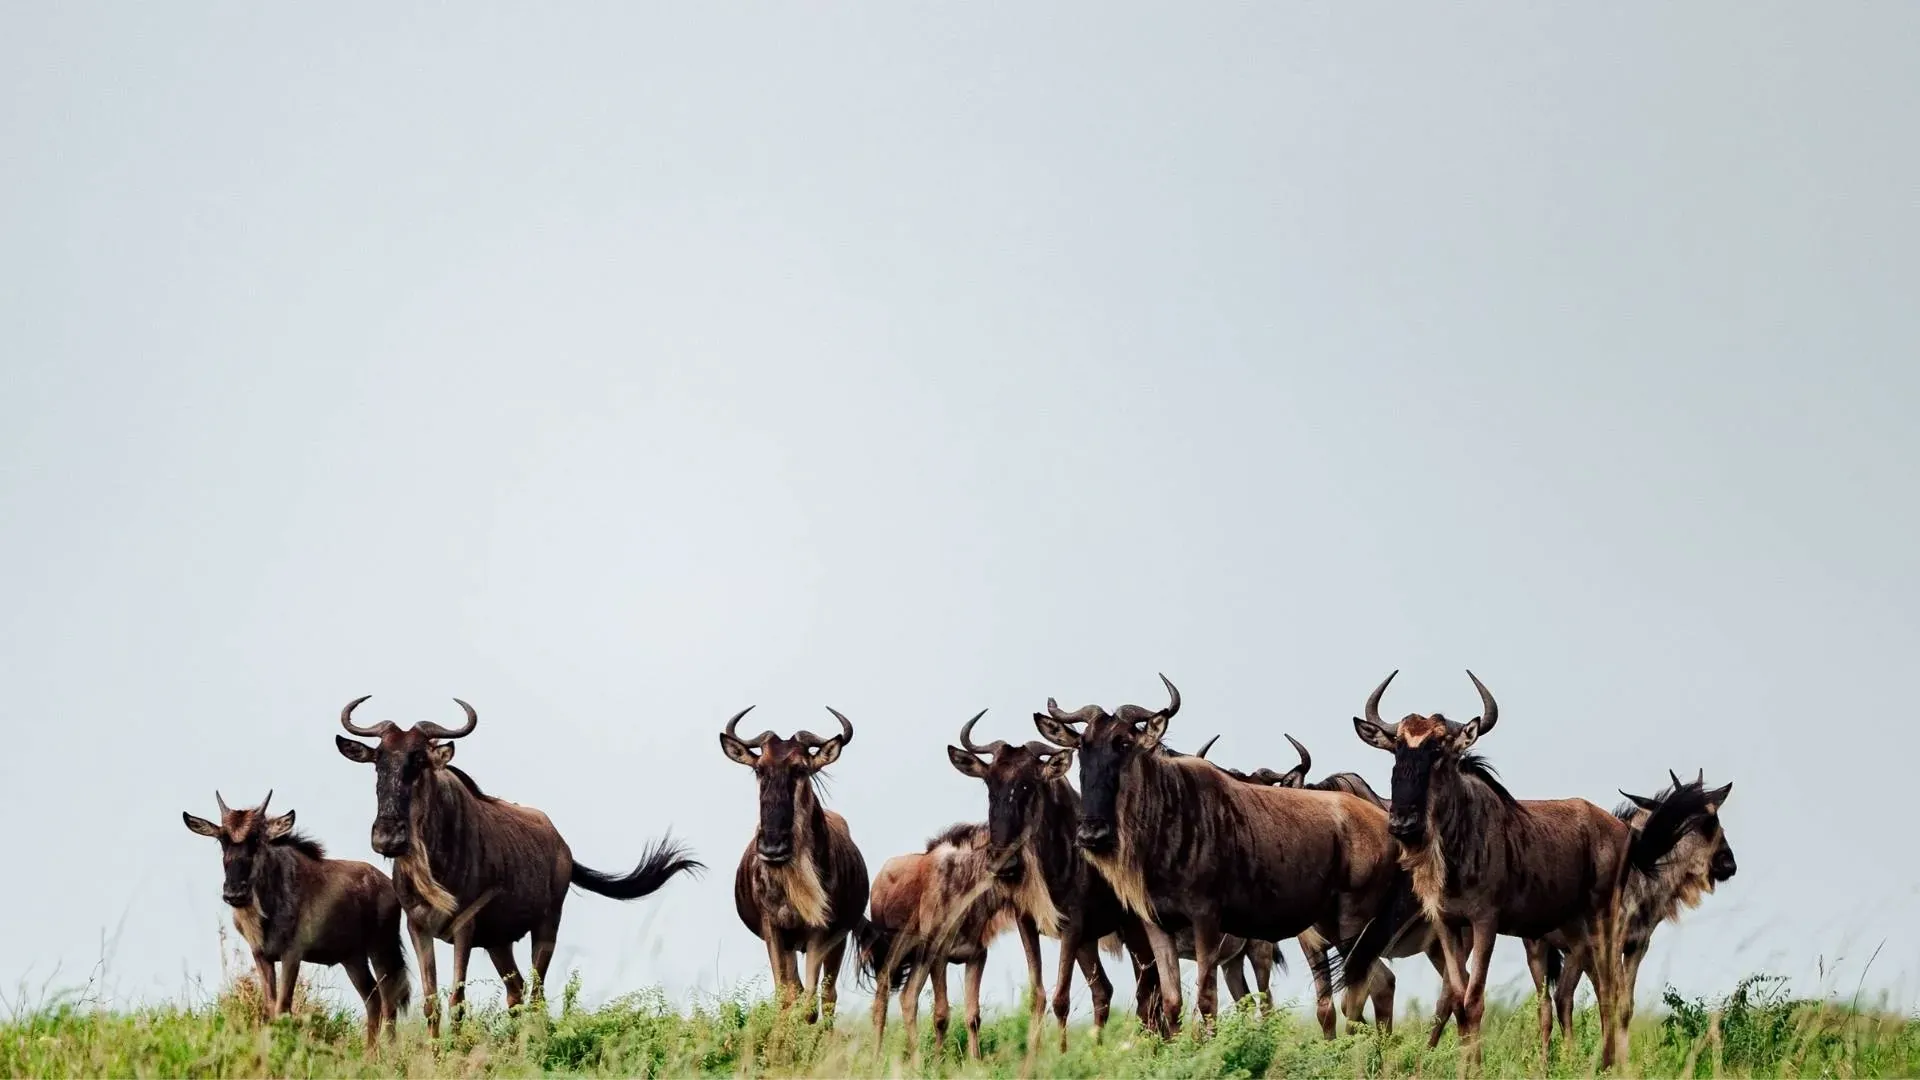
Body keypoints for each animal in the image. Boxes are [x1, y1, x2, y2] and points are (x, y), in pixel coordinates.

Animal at [183, 791, 410, 1048]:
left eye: (257, 839)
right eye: (222, 839)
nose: (234, 893)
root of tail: (388, 884)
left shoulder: (292, 954)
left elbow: (283, 1007)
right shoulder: (261, 955)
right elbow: (271, 1007)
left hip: (382, 947)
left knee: (389, 1000)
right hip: (353, 958)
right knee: (373, 999)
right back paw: (369, 1053)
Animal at [335, 697, 700, 1036]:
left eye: (420, 760)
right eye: (378, 762)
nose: (387, 838)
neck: (432, 861)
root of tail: (562, 845)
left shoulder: (464, 926)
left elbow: (457, 1000)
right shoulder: (418, 926)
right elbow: (431, 1001)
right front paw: (436, 1052)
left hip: (547, 926)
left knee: (536, 993)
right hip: (499, 942)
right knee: (517, 992)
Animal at [719, 705, 869, 1024]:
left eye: (801, 769)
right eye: (759, 769)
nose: (772, 847)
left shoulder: (821, 932)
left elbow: (810, 1005)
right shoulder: (774, 930)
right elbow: (786, 999)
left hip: (839, 940)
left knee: (828, 996)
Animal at [1036, 676, 1403, 1035]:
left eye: (1124, 743)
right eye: (1083, 746)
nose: (1092, 834)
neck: (1168, 818)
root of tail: (1380, 822)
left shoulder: (1206, 920)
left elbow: (1207, 1003)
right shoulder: (1157, 927)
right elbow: (1171, 1005)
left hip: (1347, 928)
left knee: (1371, 986)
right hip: (1329, 930)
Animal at [1347, 670, 1692, 1068]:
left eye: (1439, 750)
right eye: (1397, 749)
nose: (1402, 822)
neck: (1457, 842)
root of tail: (1624, 831)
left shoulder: (1485, 922)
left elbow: (1474, 999)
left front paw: (1475, 1069)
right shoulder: (1447, 923)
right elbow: (1457, 1000)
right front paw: (1466, 1065)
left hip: (1602, 918)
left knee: (1610, 990)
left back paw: (1607, 1065)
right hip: (1569, 931)